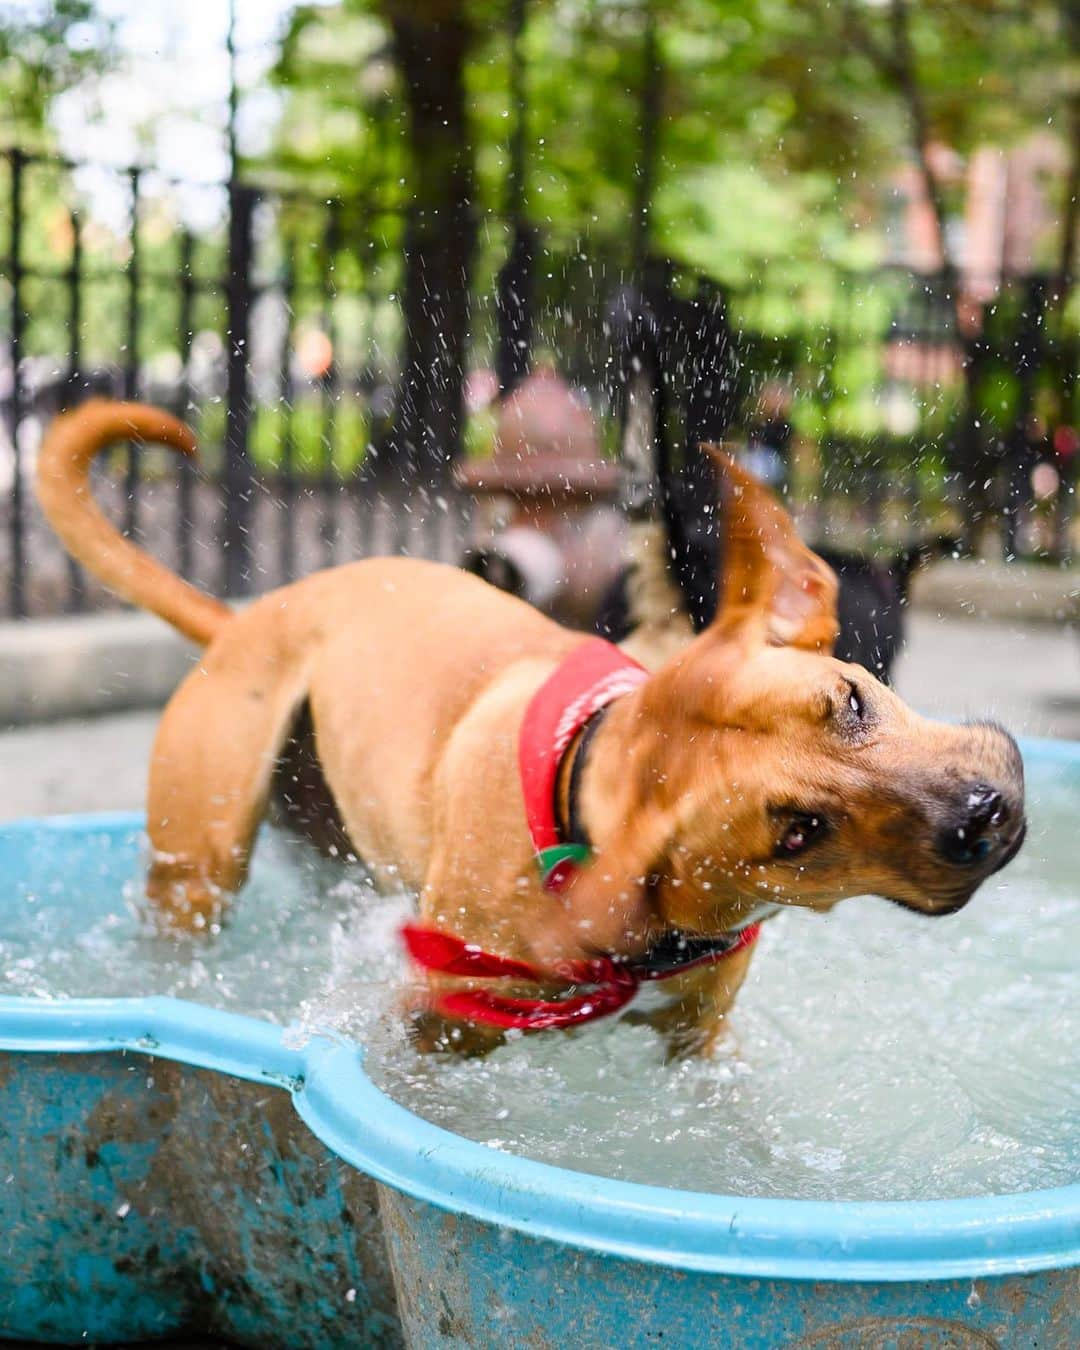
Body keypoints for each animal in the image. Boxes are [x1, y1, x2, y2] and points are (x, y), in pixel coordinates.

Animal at [37, 399, 1026, 1053]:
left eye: (853, 699)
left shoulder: (699, 1037)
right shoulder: (437, 1026)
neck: (578, 792)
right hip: (196, 872)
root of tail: (239, 623)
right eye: (797, 833)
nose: (984, 815)